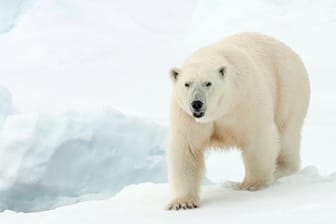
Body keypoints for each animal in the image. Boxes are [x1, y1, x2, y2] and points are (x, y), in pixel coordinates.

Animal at [167, 32, 312, 209]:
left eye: (208, 83)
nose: (196, 103)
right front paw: (182, 203)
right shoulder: (186, 116)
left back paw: (280, 170)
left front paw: (252, 184)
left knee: (287, 134)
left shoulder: (246, 101)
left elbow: (259, 138)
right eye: (187, 84)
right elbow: (187, 149)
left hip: (288, 90)